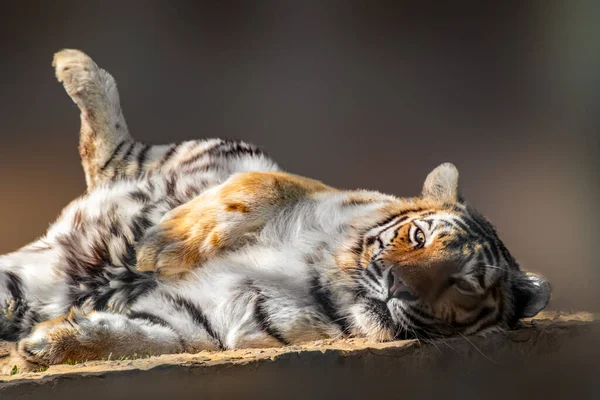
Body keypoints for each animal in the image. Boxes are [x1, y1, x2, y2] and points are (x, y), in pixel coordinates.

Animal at [0, 50, 548, 376]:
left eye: (463, 284)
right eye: (417, 237)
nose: (398, 285)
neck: (333, 283)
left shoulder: (207, 318)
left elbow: (137, 337)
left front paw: (49, 345)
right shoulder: (312, 190)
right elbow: (268, 184)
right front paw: (165, 249)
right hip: (211, 153)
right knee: (113, 149)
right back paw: (74, 66)